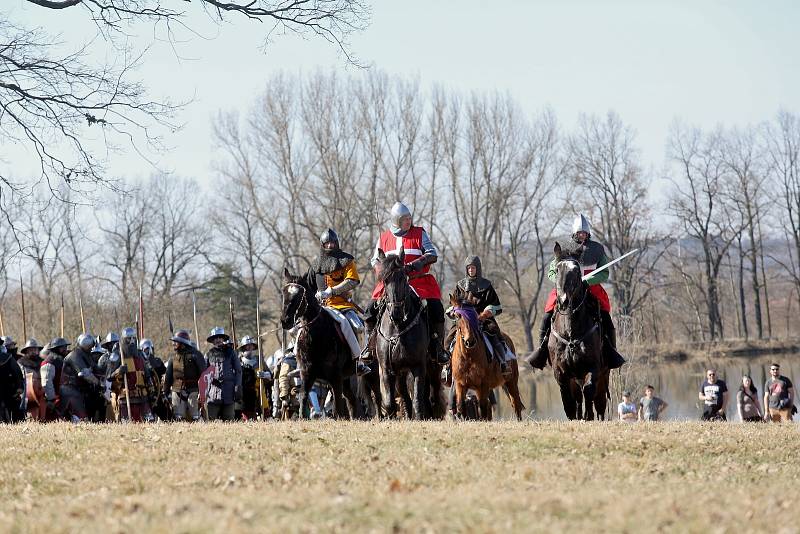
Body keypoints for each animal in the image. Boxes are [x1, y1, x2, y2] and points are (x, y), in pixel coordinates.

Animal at [278, 270, 360, 420]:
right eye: (284, 292)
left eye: (299, 295)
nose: (285, 321)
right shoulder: (306, 373)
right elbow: (303, 395)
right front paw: (301, 417)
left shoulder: (336, 376)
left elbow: (337, 406)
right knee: (350, 398)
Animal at [376, 249, 432, 420]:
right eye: (385, 281)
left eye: (403, 278)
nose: (396, 313)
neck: (398, 327)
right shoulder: (387, 368)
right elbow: (389, 401)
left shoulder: (419, 366)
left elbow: (418, 399)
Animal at [450, 294, 524, 422]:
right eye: (458, 316)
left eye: (474, 315)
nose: (470, 341)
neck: (468, 356)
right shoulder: (460, 385)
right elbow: (461, 406)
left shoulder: (482, 385)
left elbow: (483, 408)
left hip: (511, 381)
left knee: (516, 403)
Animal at [552, 243, 612, 422]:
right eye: (557, 269)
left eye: (577, 270)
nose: (564, 301)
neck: (570, 333)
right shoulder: (561, 373)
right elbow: (568, 400)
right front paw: (575, 417)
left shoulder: (593, 367)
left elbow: (589, 390)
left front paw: (588, 416)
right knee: (578, 397)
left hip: (602, 374)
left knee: (598, 400)